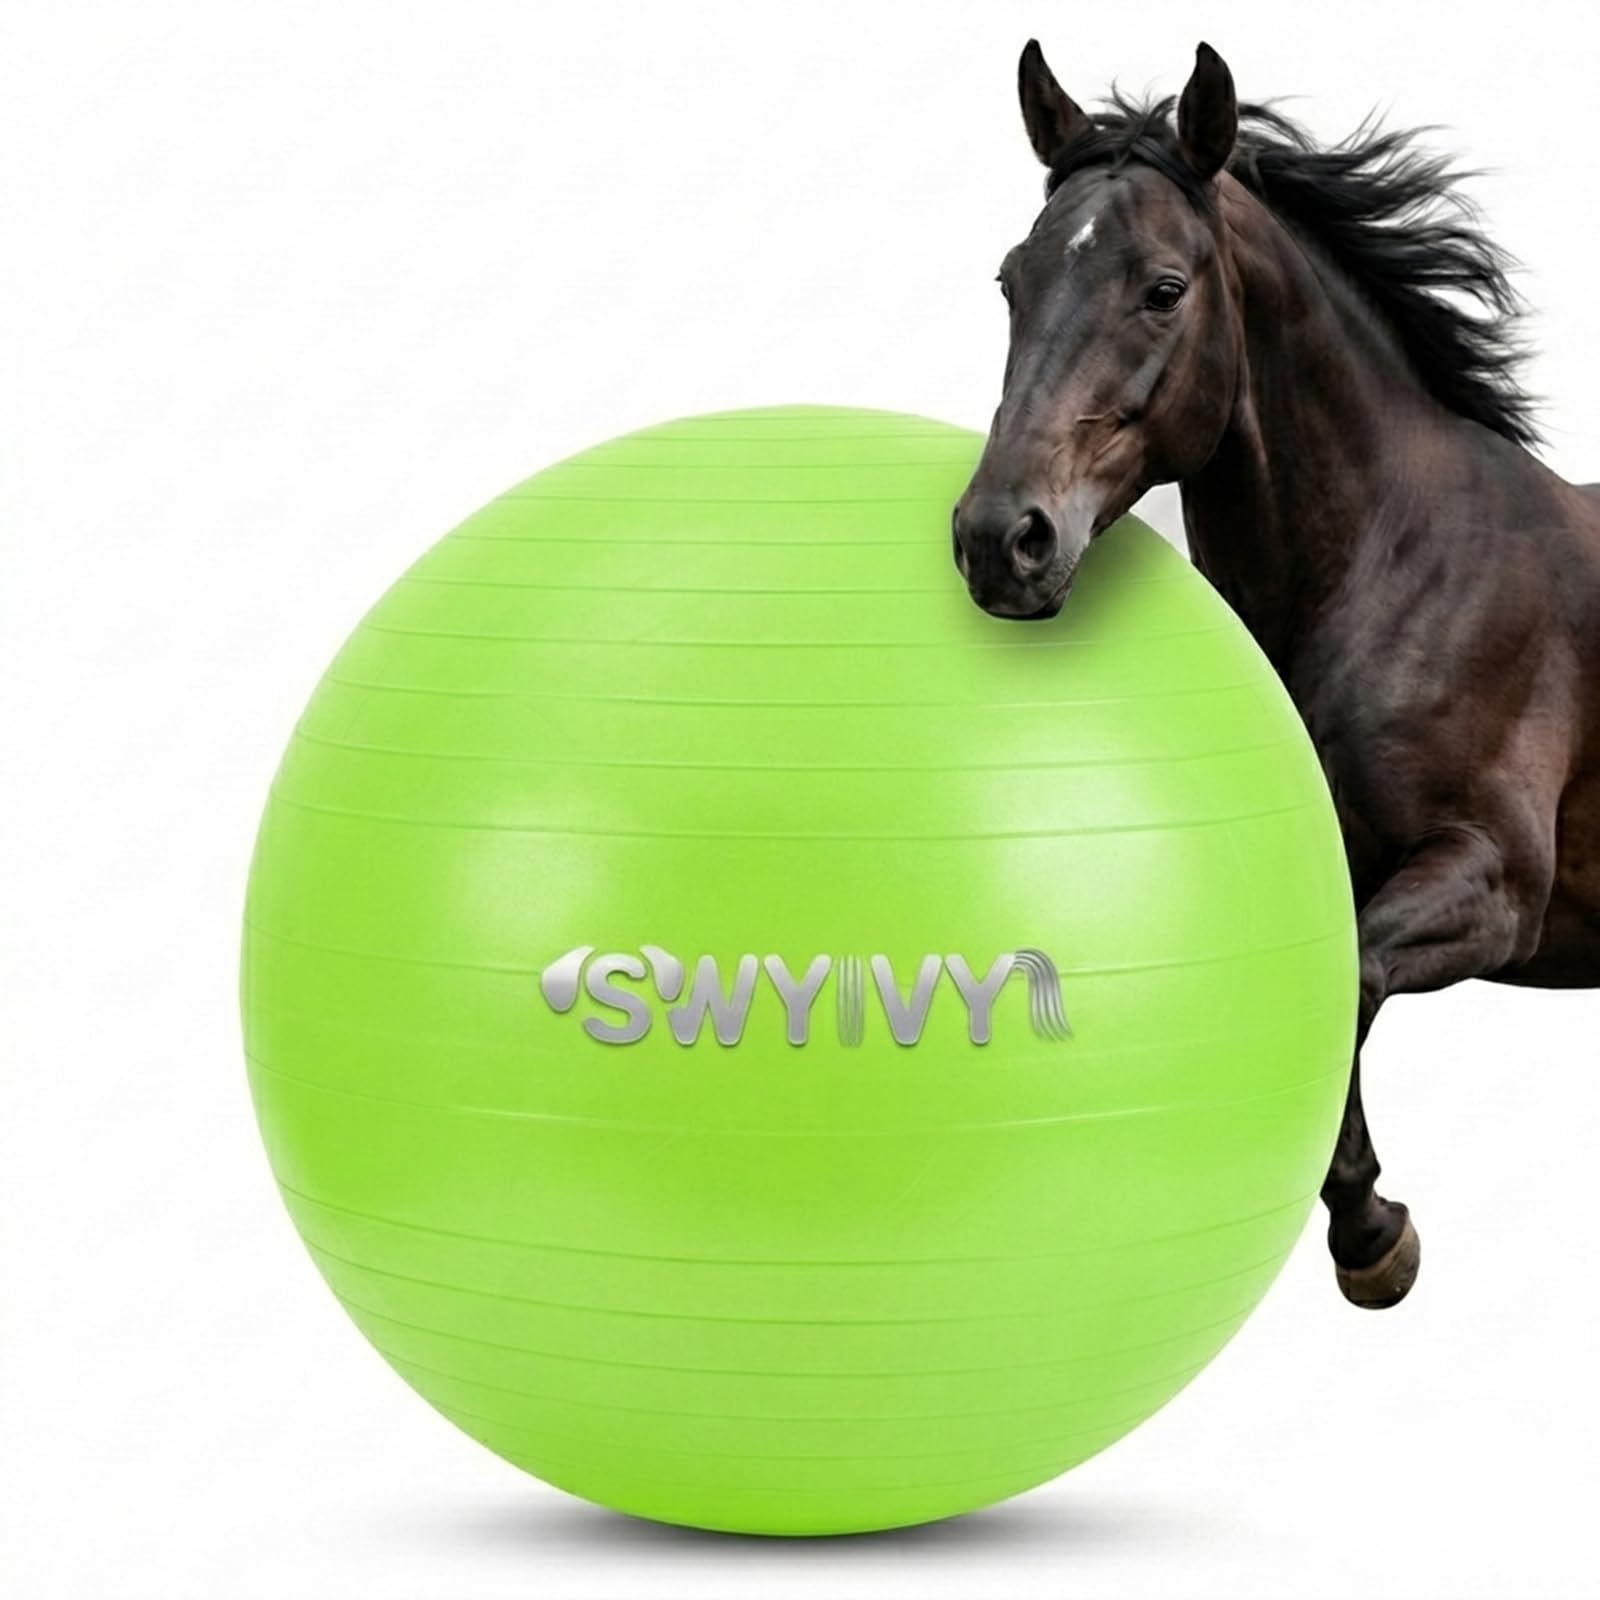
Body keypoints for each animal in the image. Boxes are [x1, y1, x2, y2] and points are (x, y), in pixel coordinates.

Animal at [952, 38, 1600, 1308]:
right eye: (1012, 279)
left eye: (1163, 288)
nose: (1000, 540)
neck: (1399, 567)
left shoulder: (1495, 875)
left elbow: (1349, 983)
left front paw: (1372, 1235)